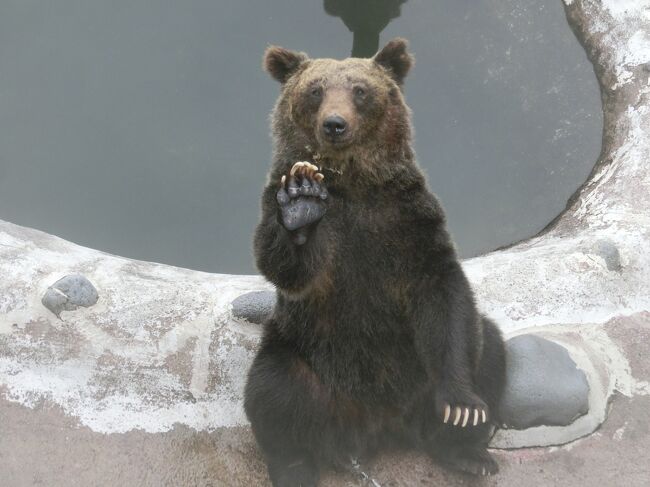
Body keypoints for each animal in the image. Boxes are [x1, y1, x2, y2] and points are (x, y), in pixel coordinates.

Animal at [246, 39, 504, 487]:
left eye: (360, 90)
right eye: (315, 90)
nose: (334, 124)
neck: (353, 183)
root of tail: (376, 427)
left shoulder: (407, 218)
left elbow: (445, 292)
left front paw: (462, 407)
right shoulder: (295, 216)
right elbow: (287, 267)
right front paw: (301, 200)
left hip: (415, 369)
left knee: (489, 349)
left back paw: (467, 452)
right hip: (306, 355)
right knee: (273, 391)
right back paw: (295, 467)